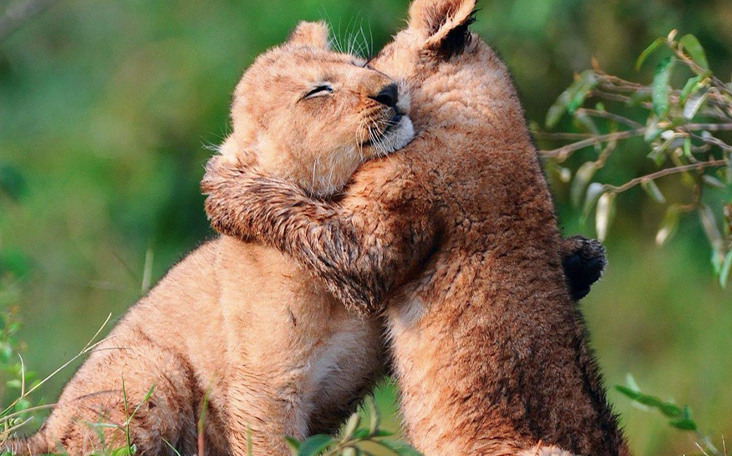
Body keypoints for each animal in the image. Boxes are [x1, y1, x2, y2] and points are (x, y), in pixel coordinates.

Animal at [201, 0, 630, 455]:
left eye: (367, 62)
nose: (388, 91)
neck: (489, 108)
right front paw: (582, 258)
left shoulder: (369, 243)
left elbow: (295, 213)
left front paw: (222, 185)